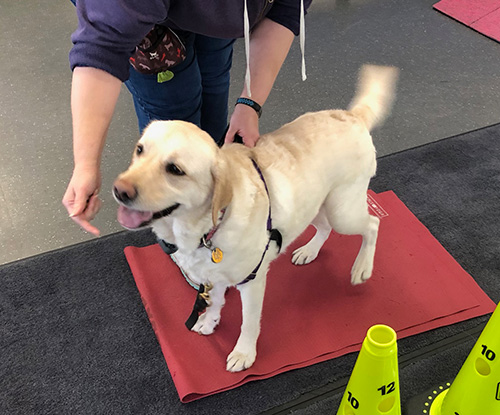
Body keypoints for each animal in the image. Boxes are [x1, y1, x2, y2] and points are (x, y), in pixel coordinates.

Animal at [113, 66, 398, 374]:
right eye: (140, 150)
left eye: (175, 169)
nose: (119, 190)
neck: (206, 230)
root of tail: (352, 115)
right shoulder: (213, 276)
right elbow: (215, 301)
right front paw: (209, 320)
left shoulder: (251, 280)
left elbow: (248, 322)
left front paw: (244, 353)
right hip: (316, 204)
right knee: (324, 228)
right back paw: (309, 251)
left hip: (342, 209)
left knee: (372, 224)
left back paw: (362, 267)